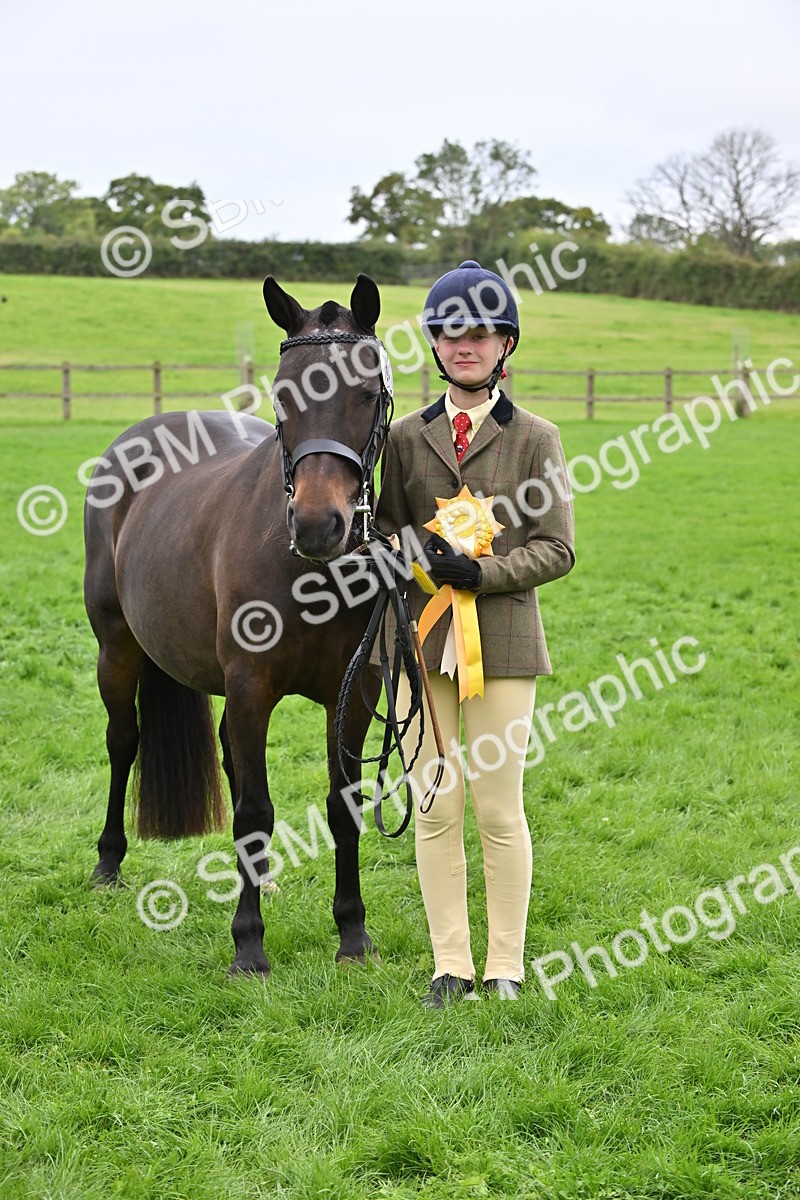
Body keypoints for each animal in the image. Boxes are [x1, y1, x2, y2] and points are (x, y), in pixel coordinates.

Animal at [83, 274, 391, 975]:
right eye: (283, 395)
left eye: (367, 394)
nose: (319, 525)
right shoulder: (252, 688)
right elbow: (254, 810)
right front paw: (248, 945)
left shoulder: (354, 697)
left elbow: (343, 806)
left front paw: (353, 933)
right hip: (116, 649)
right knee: (123, 741)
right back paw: (108, 863)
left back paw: (266, 879)